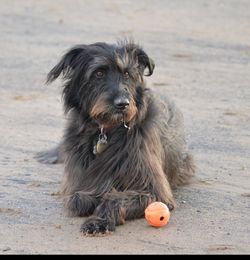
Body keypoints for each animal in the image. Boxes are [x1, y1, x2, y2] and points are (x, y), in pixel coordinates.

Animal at [36, 41, 195, 236]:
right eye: (98, 73)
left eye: (127, 73)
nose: (122, 104)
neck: (108, 129)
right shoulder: (74, 184)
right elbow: (78, 198)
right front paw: (95, 198)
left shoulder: (155, 191)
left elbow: (114, 198)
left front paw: (99, 220)